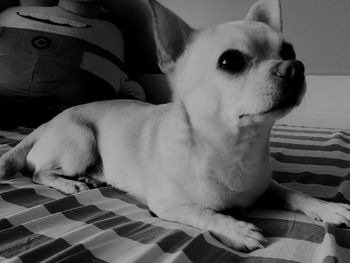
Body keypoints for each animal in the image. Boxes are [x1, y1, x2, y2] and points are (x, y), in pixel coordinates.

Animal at [0, 0, 350, 252]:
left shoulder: (266, 184)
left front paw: (327, 208)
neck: (236, 148)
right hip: (80, 140)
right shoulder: (168, 205)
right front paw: (236, 229)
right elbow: (203, 212)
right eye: (230, 62)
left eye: (289, 51)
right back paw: (69, 184)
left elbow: (292, 192)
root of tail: (48, 121)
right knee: (37, 172)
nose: (295, 67)